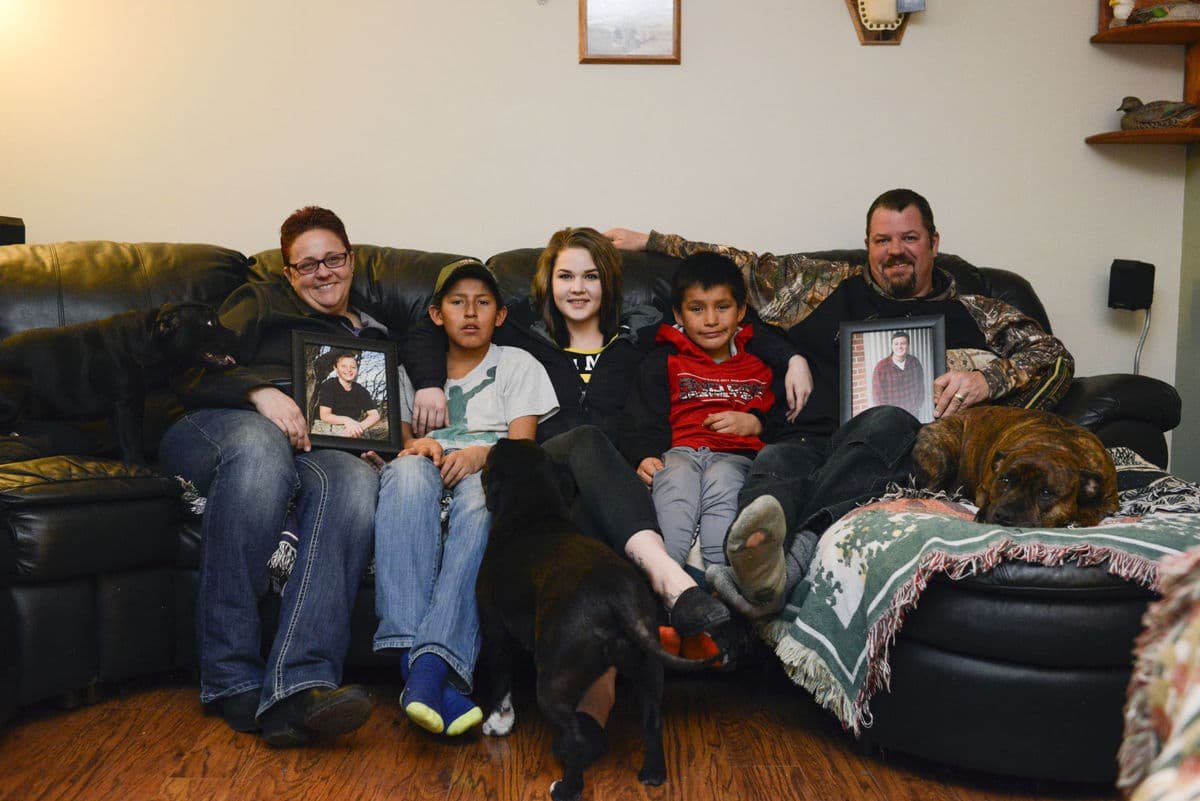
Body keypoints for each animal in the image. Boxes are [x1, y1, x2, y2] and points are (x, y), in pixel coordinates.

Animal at [0, 299, 238, 462]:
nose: (237, 334)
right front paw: (138, 465)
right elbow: (130, 443)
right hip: (15, 391)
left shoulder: (134, 404)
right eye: (209, 323)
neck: (147, 339)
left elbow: (133, 438)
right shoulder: (122, 406)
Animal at [475, 438, 710, 801]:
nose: (499, 439)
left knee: (575, 737)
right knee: (652, 723)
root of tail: (617, 599)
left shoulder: (494, 629)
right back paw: (653, 774)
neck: (533, 506)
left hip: (553, 683)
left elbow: (501, 683)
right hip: (649, 670)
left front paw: (499, 724)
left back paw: (565, 788)